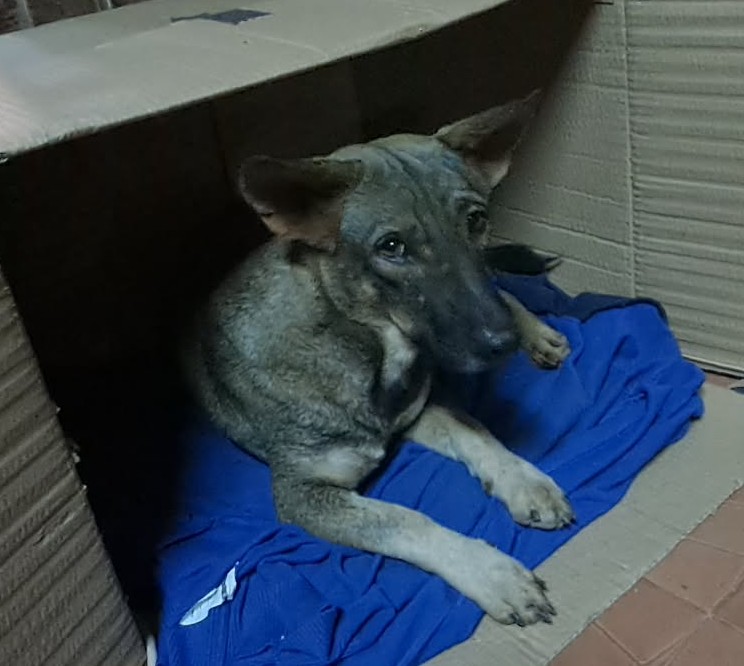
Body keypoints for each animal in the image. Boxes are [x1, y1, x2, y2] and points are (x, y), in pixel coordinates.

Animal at [182, 91, 573, 627]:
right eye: (392, 247)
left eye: (475, 220)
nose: (504, 344)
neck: (371, 350)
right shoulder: (304, 495)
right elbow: (406, 521)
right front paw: (494, 574)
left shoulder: (416, 411)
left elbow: (476, 430)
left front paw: (525, 481)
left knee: (502, 284)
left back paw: (539, 331)